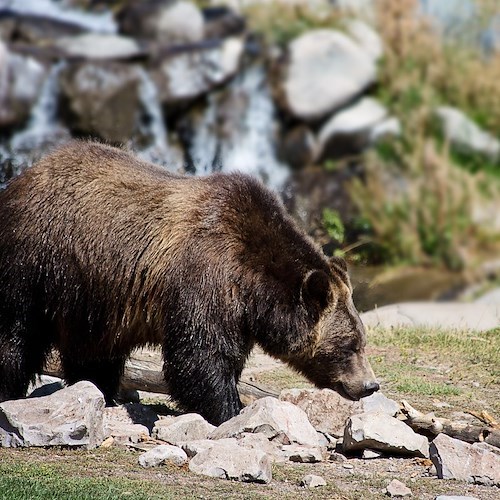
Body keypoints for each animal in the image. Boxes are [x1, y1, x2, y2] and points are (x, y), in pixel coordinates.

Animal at [0, 142, 378, 426]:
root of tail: (23, 177)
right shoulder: (205, 277)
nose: (370, 385)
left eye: (362, 340)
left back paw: (100, 392)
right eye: (349, 345)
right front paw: (229, 410)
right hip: (38, 261)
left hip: (91, 296)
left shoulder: (236, 311)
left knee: (93, 351)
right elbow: (200, 356)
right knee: (17, 332)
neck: (253, 285)